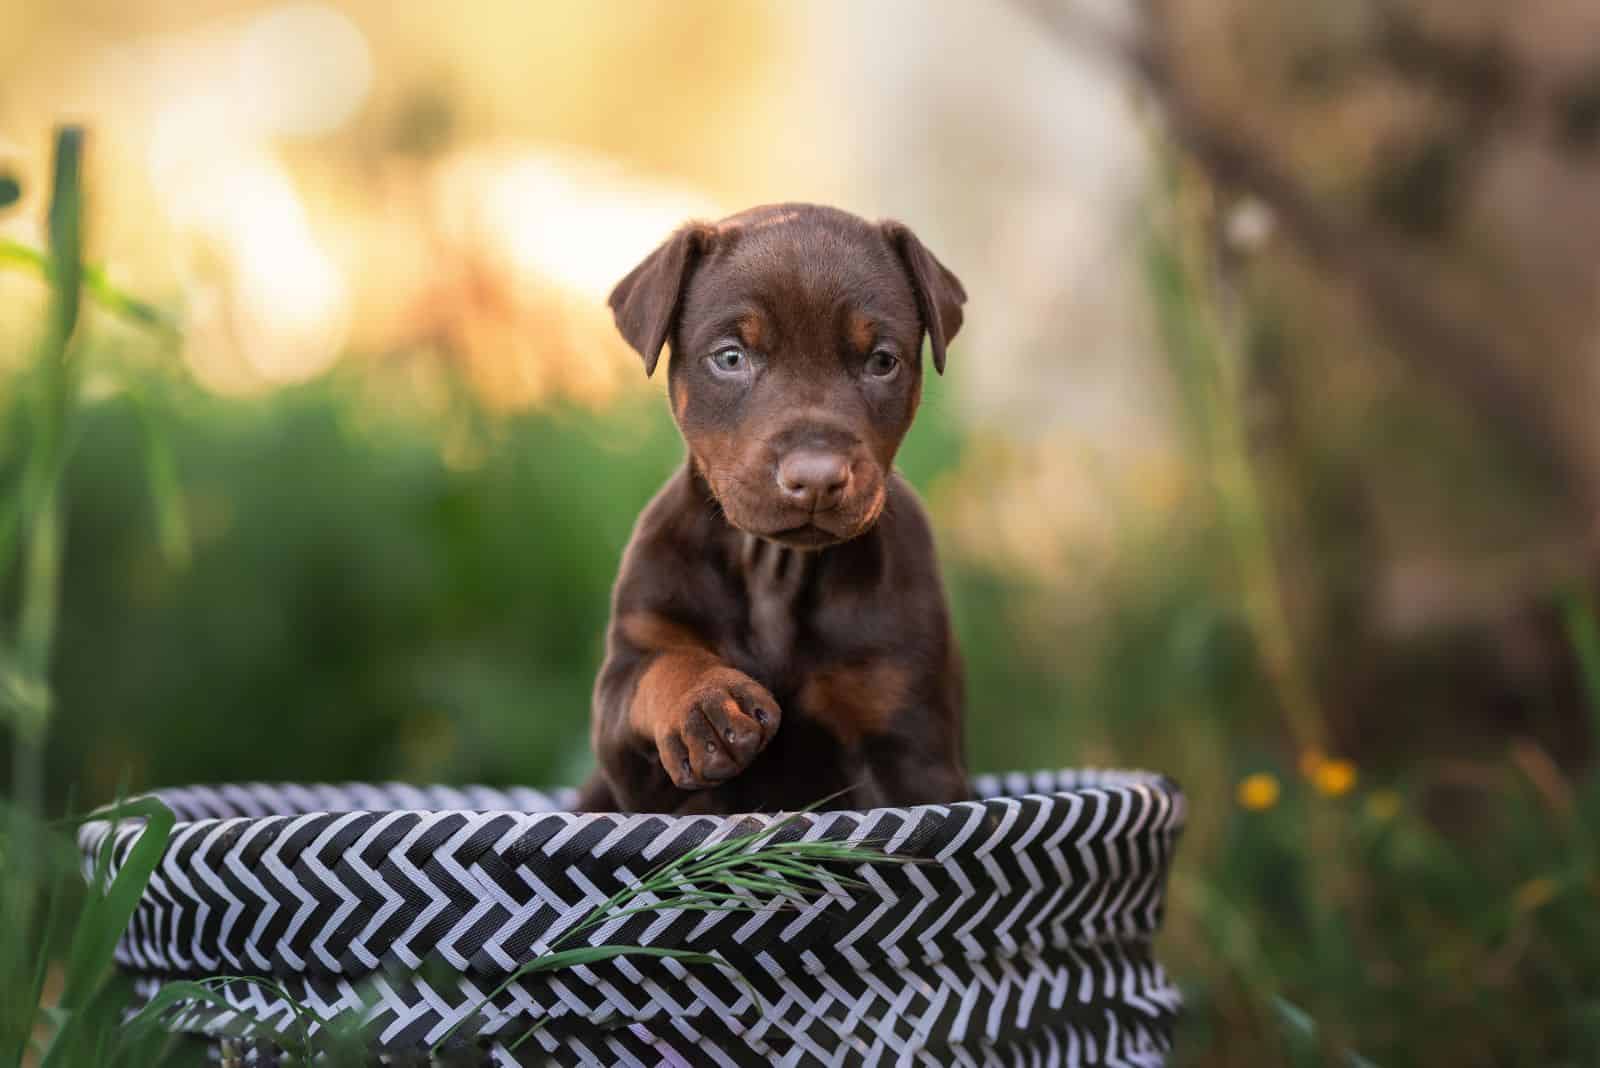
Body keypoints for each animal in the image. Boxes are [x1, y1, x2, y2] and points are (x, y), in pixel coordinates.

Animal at [579, 202, 966, 818]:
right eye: (730, 357)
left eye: (882, 361)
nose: (817, 479)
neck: (775, 569)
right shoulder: (626, 710)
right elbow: (659, 667)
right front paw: (705, 704)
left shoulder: (906, 736)